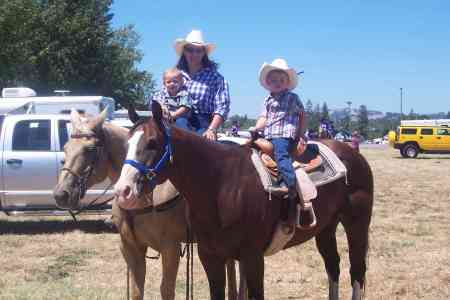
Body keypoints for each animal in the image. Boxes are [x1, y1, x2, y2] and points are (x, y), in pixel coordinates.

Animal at [51, 110, 239, 300]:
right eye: (66, 148)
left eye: (89, 149)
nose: (61, 194)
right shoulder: (131, 247)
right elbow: (136, 290)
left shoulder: (170, 247)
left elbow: (166, 290)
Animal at [114, 102, 374, 298]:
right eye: (126, 143)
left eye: (152, 143)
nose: (123, 191)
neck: (221, 185)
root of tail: (353, 154)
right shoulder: (210, 256)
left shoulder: (252, 256)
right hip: (326, 227)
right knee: (333, 266)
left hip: (357, 223)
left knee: (357, 270)